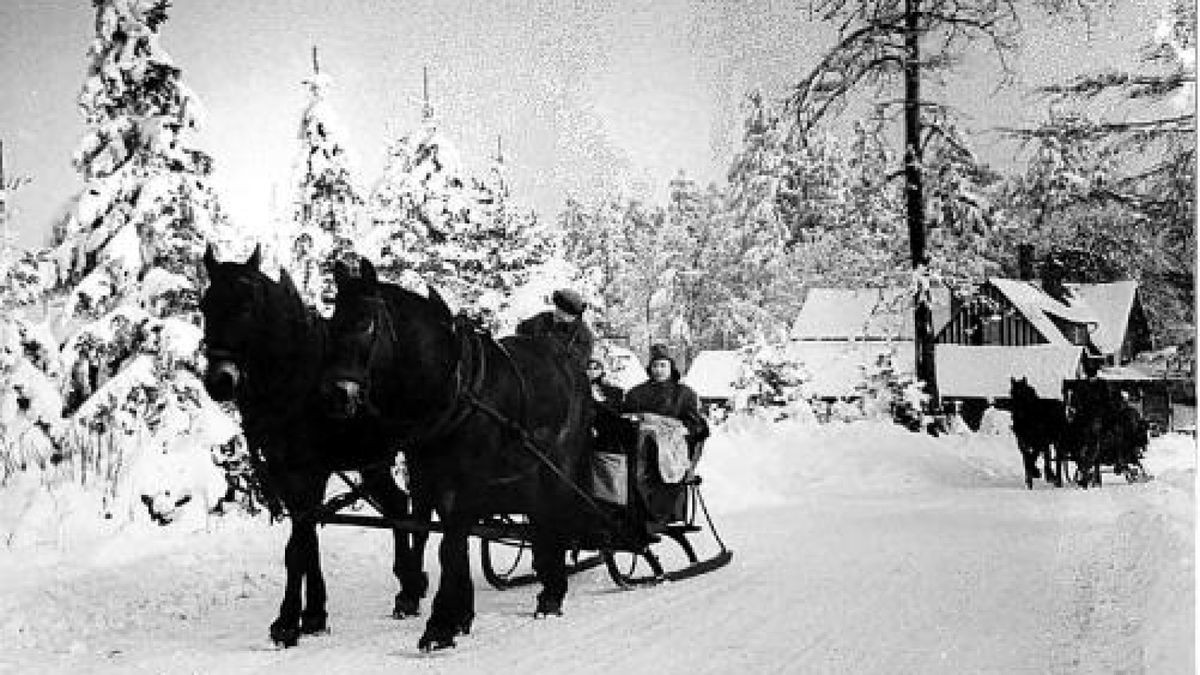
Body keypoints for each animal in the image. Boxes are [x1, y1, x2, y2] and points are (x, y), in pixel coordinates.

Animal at [201, 243, 432, 643]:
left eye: (246, 307)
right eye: (204, 306)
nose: (219, 381)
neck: (294, 378)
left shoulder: (312, 470)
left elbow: (299, 544)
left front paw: (288, 621)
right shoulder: (284, 471)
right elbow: (305, 541)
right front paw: (312, 614)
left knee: (419, 508)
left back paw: (414, 583)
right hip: (372, 460)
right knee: (398, 506)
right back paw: (408, 587)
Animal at [319, 255, 619, 648]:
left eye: (366, 323)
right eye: (332, 322)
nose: (336, 394)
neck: (455, 384)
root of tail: (571, 364)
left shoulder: (468, 478)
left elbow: (451, 543)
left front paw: (441, 623)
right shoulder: (424, 470)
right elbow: (427, 531)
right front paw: (448, 609)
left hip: (561, 461)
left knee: (554, 512)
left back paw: (552, 593)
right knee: (539, 518)